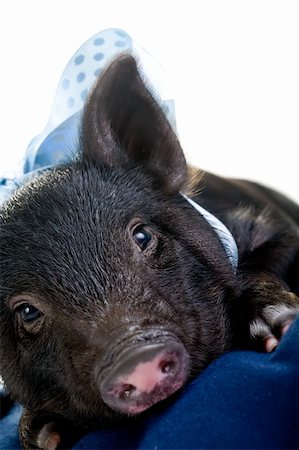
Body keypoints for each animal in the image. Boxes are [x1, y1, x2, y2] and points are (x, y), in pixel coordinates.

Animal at [1, 55, 299, 450]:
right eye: (27, 311)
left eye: (142, 235)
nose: (136, 356)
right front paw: (44, 433)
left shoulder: (276, 228)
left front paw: (278, 327)